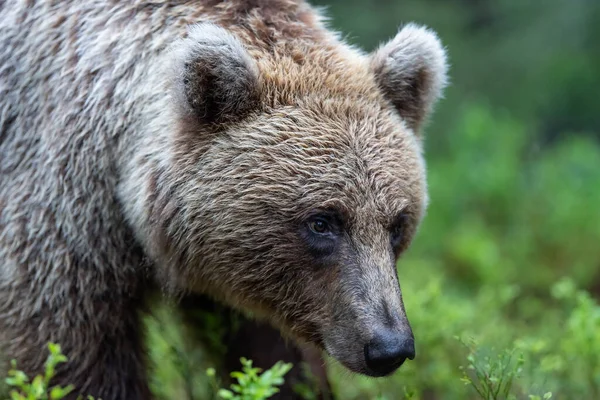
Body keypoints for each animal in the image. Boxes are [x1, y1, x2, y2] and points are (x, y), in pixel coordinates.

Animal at [0, 0, 448, 400]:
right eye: (322, 221)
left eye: (397, 224)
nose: (389, 347)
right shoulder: (62, 206)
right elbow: (69, 350)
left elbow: (271, 355)